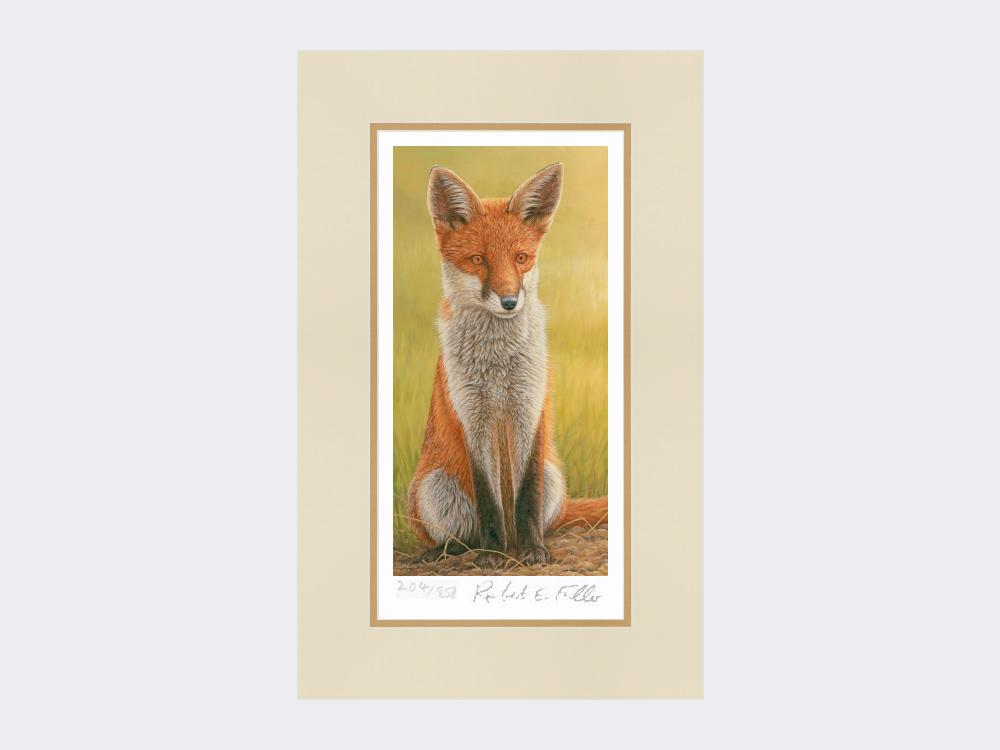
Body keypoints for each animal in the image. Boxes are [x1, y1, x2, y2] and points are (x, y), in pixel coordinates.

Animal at [406, 162, 608, 568]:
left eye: (521, 258)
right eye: (478, 260)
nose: (510, 302)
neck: (497, 366)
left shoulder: (529, 409)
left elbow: (526, 496)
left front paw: (533, 551)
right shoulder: (472, 417)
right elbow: (489, 502)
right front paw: (492, 554)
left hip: (553, 477)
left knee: (544, 516)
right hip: (434, 489)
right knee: (460, 536)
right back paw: (447, 551)